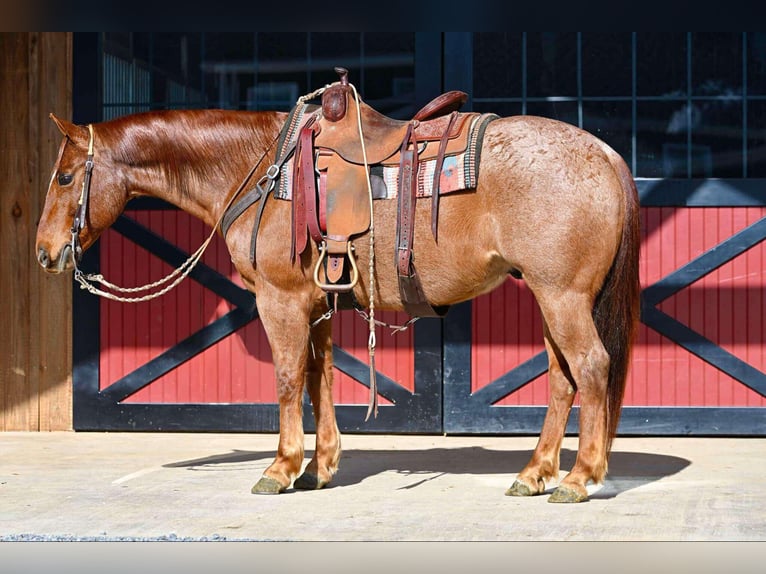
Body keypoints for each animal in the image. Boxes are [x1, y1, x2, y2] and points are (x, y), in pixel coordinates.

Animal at [34, 91, 640, 504]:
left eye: (64, 177)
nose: (44, 252)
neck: (258, 169)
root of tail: (605, 153)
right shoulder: (316, 303)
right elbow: (318, 375)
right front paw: (319, 467)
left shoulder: (279, 301)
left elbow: (286, 377)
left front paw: (279, 469)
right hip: (549, 296)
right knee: (563, 377)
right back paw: (535, 474)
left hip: (562, 296)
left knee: (591, 366)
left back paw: (580, 477)